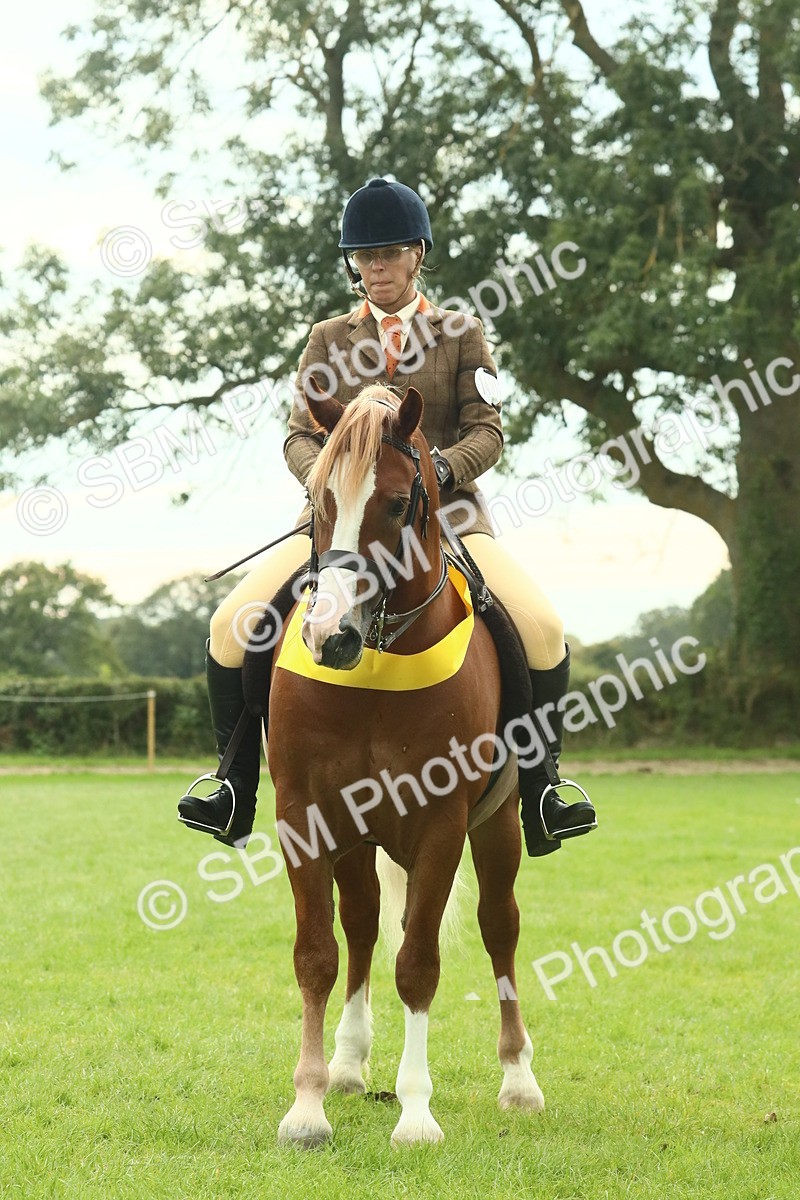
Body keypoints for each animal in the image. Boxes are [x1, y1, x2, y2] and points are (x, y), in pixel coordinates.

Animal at [266, 381, 544, 1147]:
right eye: (318, 497)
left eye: (395, 504)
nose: (328, 637)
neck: (378, 661)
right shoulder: (305, 818)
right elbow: (316, 955)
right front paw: (307, 1107)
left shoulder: (441, 825)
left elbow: (418, 963)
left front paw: (417, 1113)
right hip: (356, 836)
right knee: (361, 926)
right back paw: (348, 1065)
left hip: (498, 827)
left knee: (499, 926)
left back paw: (519, 1080)